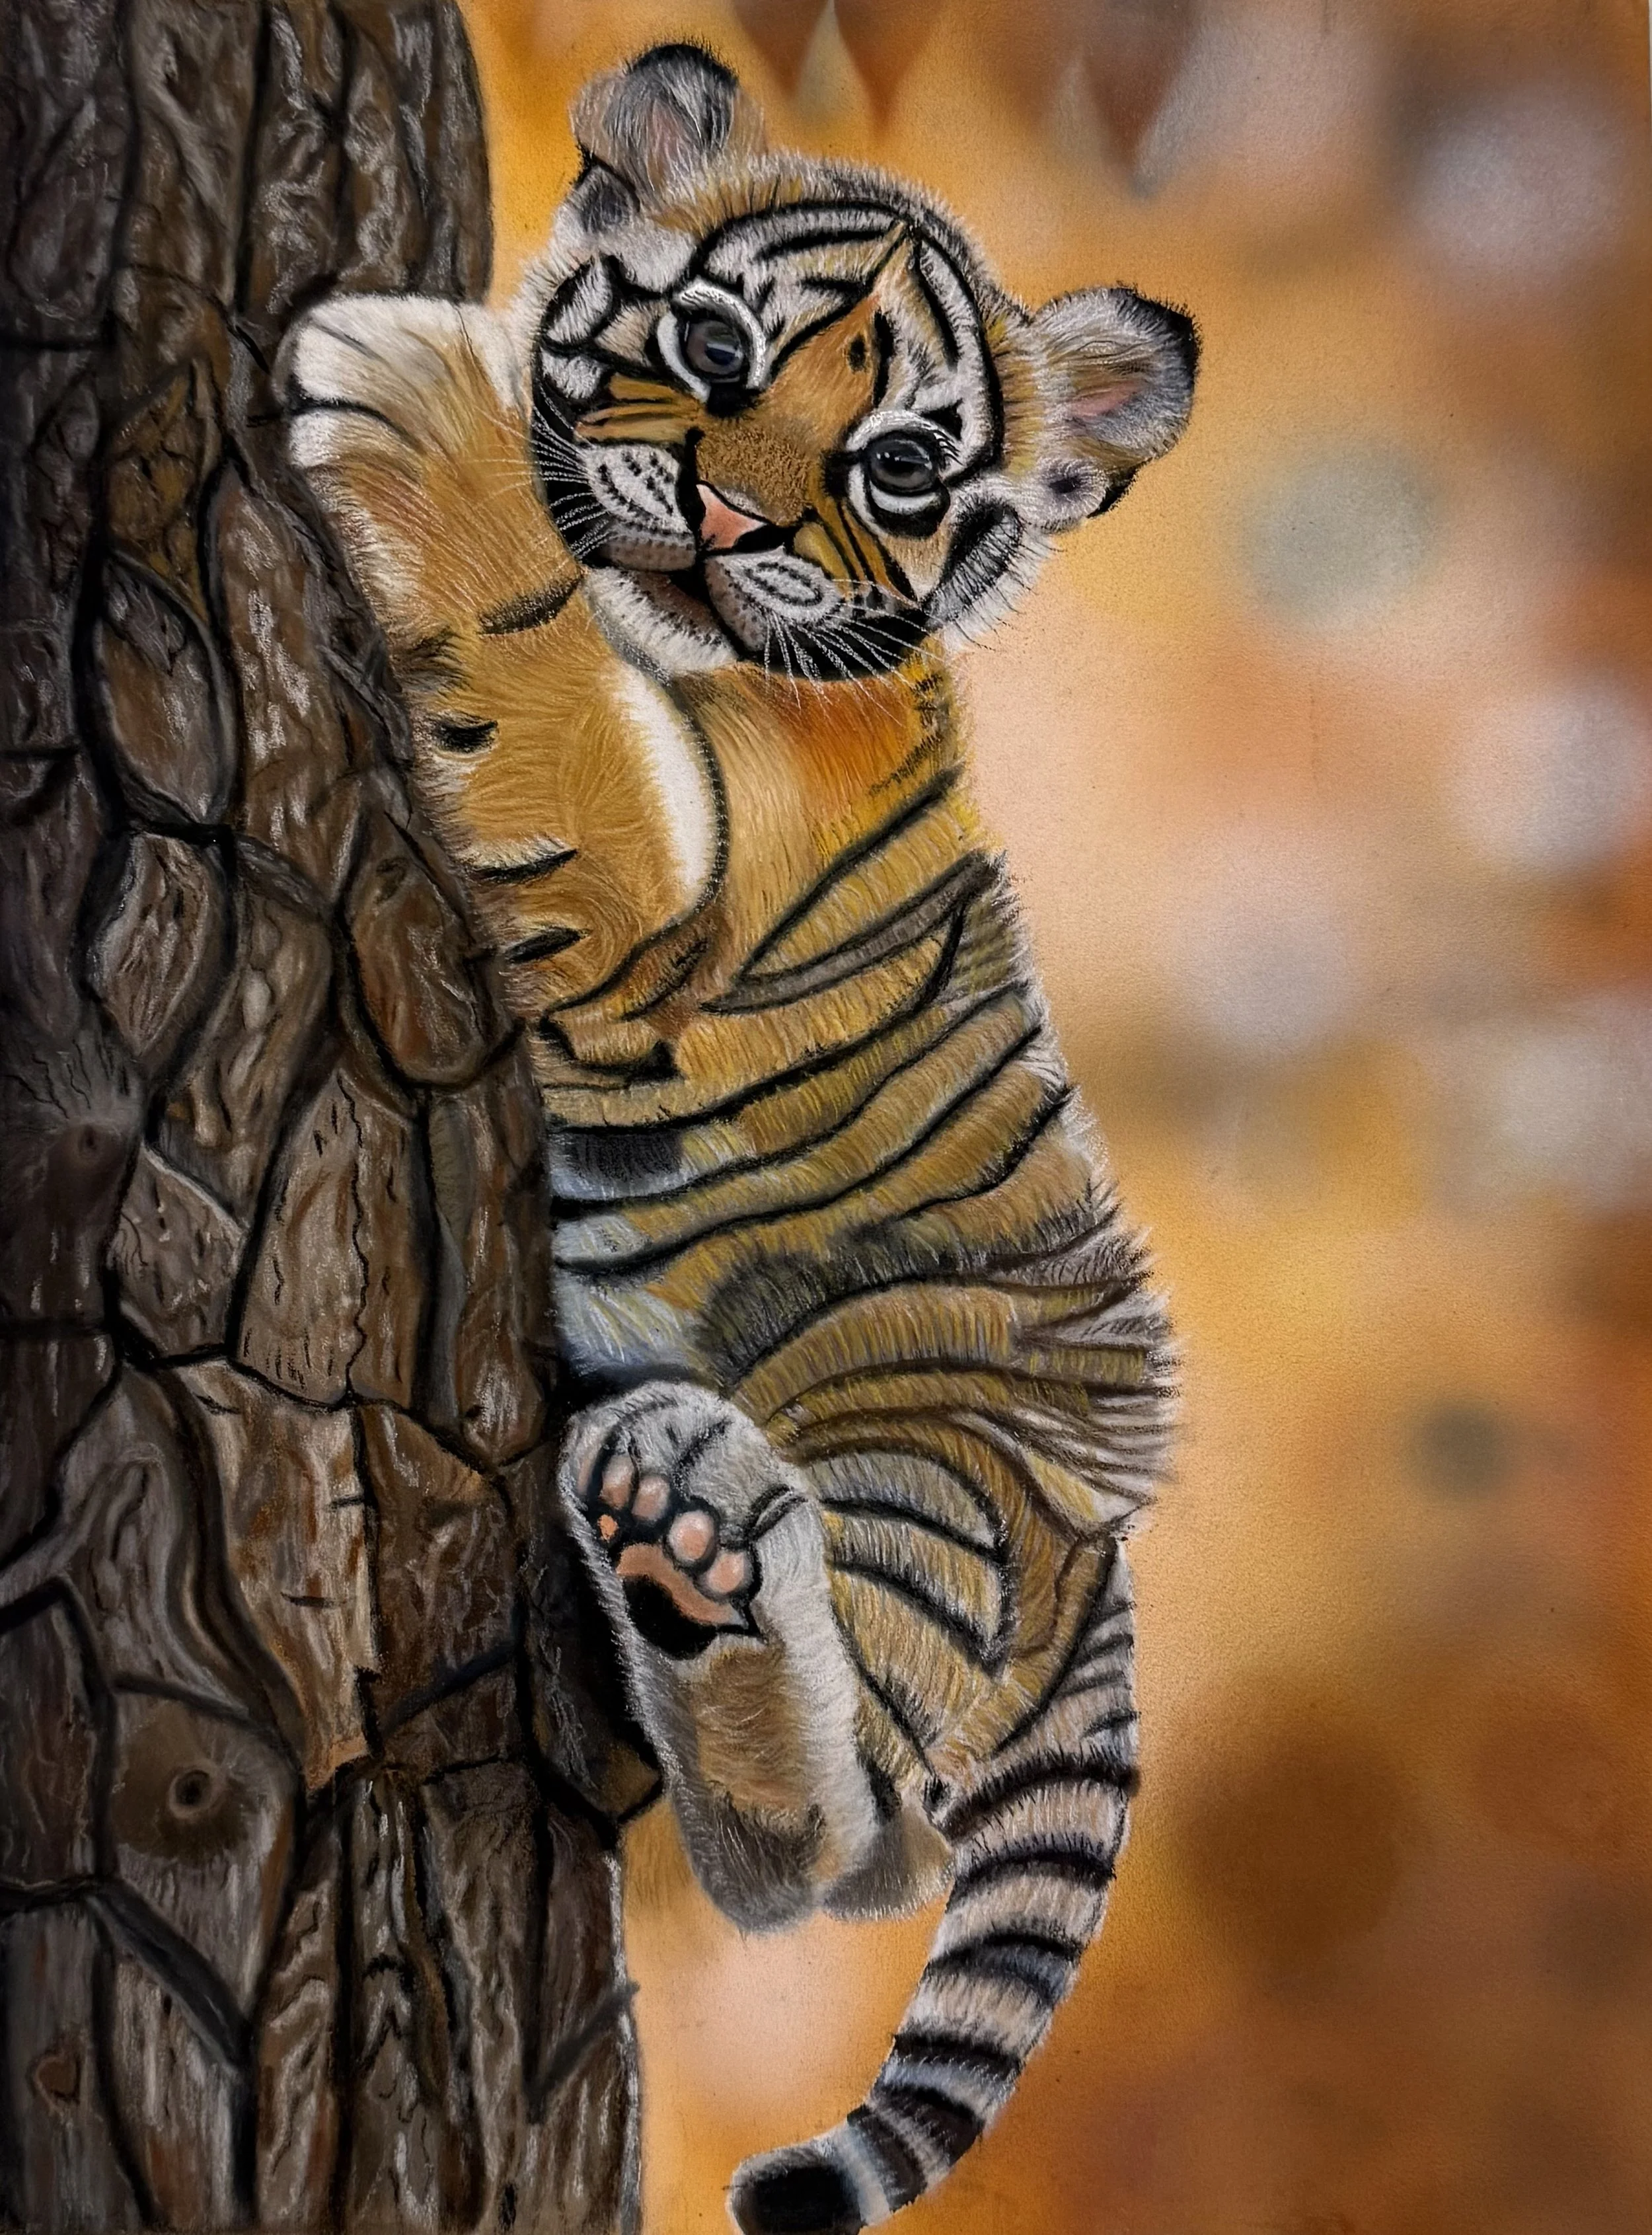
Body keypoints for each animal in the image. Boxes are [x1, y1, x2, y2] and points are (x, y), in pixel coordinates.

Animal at [287, 41, 1194, 2235]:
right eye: (710, 346)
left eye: (898, 466)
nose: (723, 516)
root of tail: (1111, 1552)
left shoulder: (661, 937)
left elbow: (545, 695)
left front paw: (403, 397)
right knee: (854, 1838)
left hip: (928, 1483)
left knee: (830, 1843)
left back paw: (687, 1534)